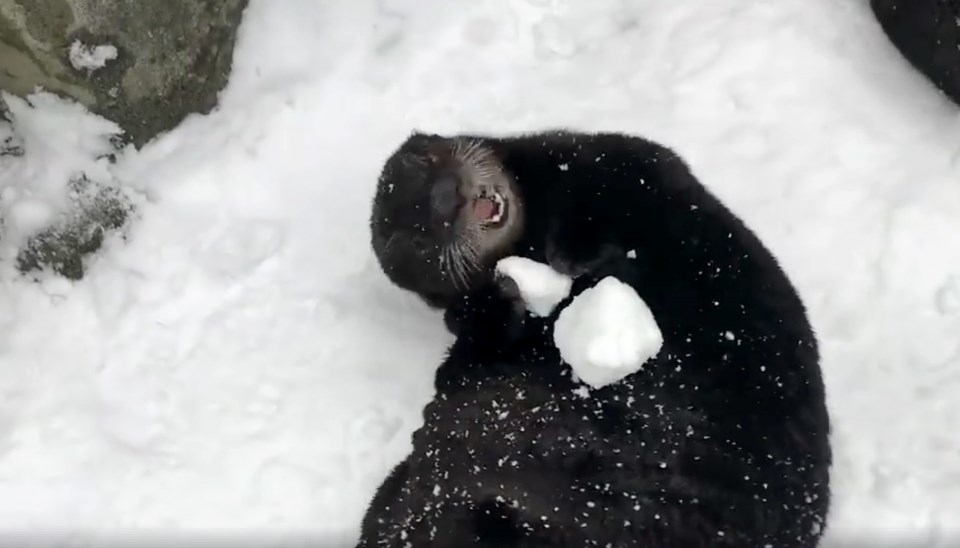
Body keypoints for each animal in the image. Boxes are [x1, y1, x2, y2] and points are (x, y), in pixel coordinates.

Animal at [362, 131, 832, 544]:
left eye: (427, 160)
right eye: (417, 236)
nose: (448, 195)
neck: (530, 239)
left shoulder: (616, 159)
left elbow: (634, 191)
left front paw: (577, 256)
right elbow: (457, 366)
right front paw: (506, 293)